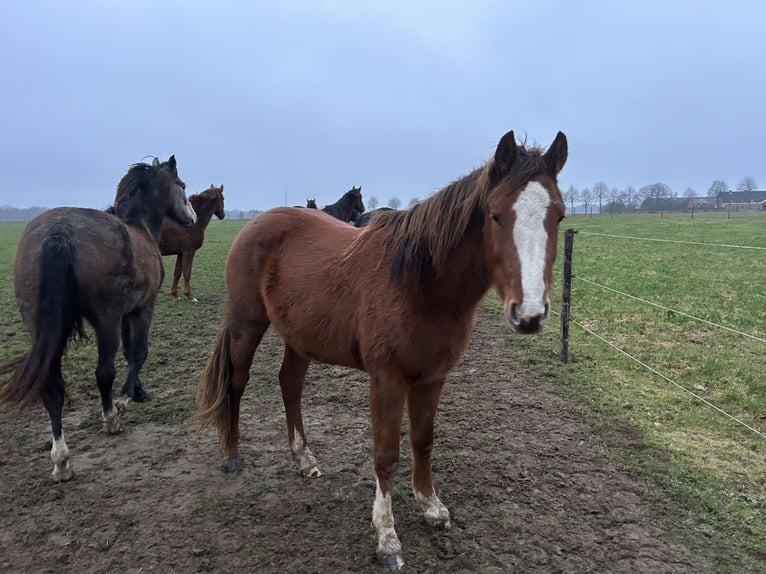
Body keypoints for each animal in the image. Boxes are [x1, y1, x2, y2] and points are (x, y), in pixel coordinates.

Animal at [0, 155, 196, 484]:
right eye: (181, 185)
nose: (192, 217)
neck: (139, 227)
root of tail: (59, 233)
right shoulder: (141, 308)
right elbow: (138, 353)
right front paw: (125, 399)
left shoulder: (127, 312)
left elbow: (131, 353)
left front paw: (138, 391)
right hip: (106, 321)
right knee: (104, 372)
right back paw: (110, 419)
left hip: (38, 325)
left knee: (51, 388)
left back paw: (61, 459)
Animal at [196, 134, 568, 572]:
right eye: (495, 215)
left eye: (559, 217)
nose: (530, 314)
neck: (419, 284)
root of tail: (258, 222)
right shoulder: (387, 380)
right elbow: (386, 455)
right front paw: (387, 538)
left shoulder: (432, 378)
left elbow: (423, 441)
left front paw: (431, 506)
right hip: (246, 324)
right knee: (236, 384)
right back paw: (233, 455)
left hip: (299, 336)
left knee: (290, 385)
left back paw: (304, 460)